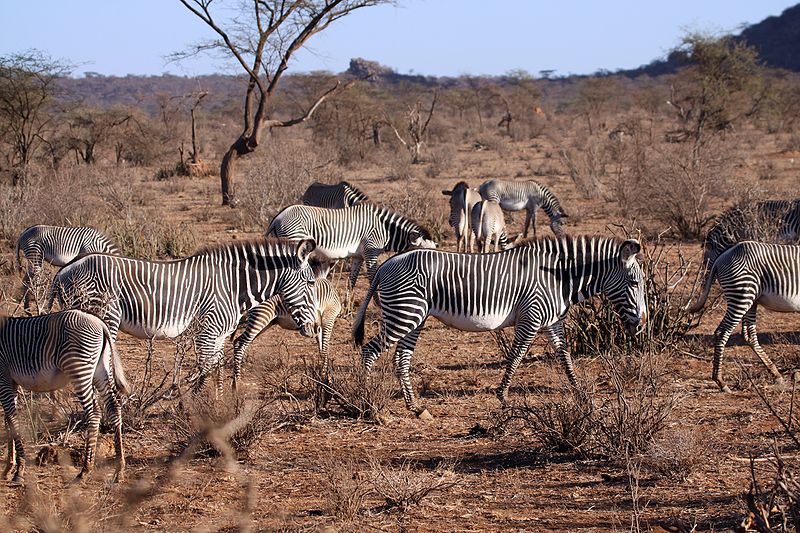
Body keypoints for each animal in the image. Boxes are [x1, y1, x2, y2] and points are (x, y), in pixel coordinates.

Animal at [0, 310, 128, 484]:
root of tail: (100, 323)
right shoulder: (11, 382)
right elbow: (8, 421)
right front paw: (8, 468)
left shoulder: (4, 377)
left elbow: (12, 420)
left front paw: (19, 470)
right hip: (101, 370)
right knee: (114, 407)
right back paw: (119, 469)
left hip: (79, 369)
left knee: (94, 412)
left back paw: (85, 471)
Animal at [47, 239, 318, 388]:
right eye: (312, 283)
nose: (315, 328)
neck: (232, 286)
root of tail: (64, 269)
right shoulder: (207, 332)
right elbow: (204, 373)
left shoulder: (220, 335)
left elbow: (217, 372)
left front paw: (219, 408)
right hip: (101, 317)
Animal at [266, 203, 434, 288]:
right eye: (422, 253)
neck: (385, 230)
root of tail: (278, 217)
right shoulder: (370, 251)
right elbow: (372, 277)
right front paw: (377, 304)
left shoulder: (358, 256)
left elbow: (352, 280)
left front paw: (348, 302)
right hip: (294, 241)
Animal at [354, 236, 648, 416]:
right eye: (634, 283)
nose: (642, 326)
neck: (559, 279)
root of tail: (387, 264)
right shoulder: (531, 316)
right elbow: (517, 355)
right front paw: (503, 395)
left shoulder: (553, 322)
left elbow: (564, 356)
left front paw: (580, 392)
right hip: (404, 313)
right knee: (370, 350)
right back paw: (366, 400)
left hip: (413, 317)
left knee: (401, 358)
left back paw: (414, 406)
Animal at [688, 240, 800, 390]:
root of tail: (722, 256)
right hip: (742, 294)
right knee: (723, 332)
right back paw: (720, 381)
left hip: (751, 300)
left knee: (749, 335)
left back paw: (776, 374)